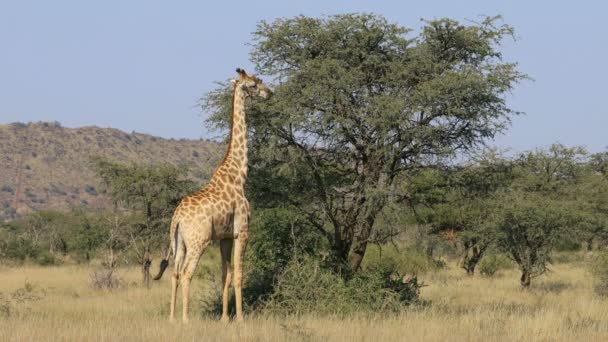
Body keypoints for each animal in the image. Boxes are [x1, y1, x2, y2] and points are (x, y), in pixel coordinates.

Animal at [153, 68, 272, 322]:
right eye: (254, 84)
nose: (270, 92)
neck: (239, 173)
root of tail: (177, 218)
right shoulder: (242, 231)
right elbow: (238, 275)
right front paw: (241, 319)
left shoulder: (224, 237)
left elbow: (225, 275)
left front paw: (225, 318)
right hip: (199, 241)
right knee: (186, 273)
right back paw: (186, 319)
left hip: (179, 242)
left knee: (175, 273)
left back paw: (172, 318)